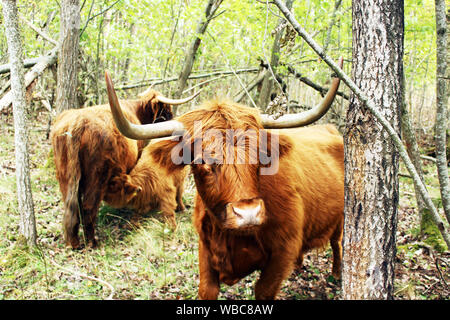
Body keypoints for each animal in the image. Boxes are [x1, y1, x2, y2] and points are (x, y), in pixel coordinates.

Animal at [50, 88, 197, 250]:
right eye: (166, 111)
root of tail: (76, 124)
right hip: (96, 177)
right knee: (88, 207)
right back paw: (92, 242)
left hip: (66, 177)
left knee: (71, 208)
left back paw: (73, 243)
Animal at [104, 58, 344, 300]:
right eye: (202, 160)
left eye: (261, 156)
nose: (248, 214)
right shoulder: (205, 247)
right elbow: (206, 289)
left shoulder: (283, 251)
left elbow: (263, 290)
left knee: (338, 243)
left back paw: (336, 274)